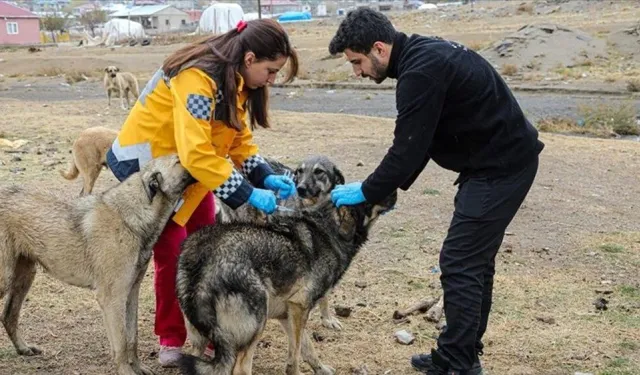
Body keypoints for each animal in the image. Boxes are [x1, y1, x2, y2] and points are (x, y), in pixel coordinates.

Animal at [0, 154, 195, 375]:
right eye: (178, 160)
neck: (130, 216)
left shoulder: (130, 294)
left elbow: (132, 338)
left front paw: (138, 367)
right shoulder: (112, 298)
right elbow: (120, 343)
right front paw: (126, 371)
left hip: (24, 276)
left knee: (8, 315)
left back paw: (23, 348)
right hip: (6, 278)